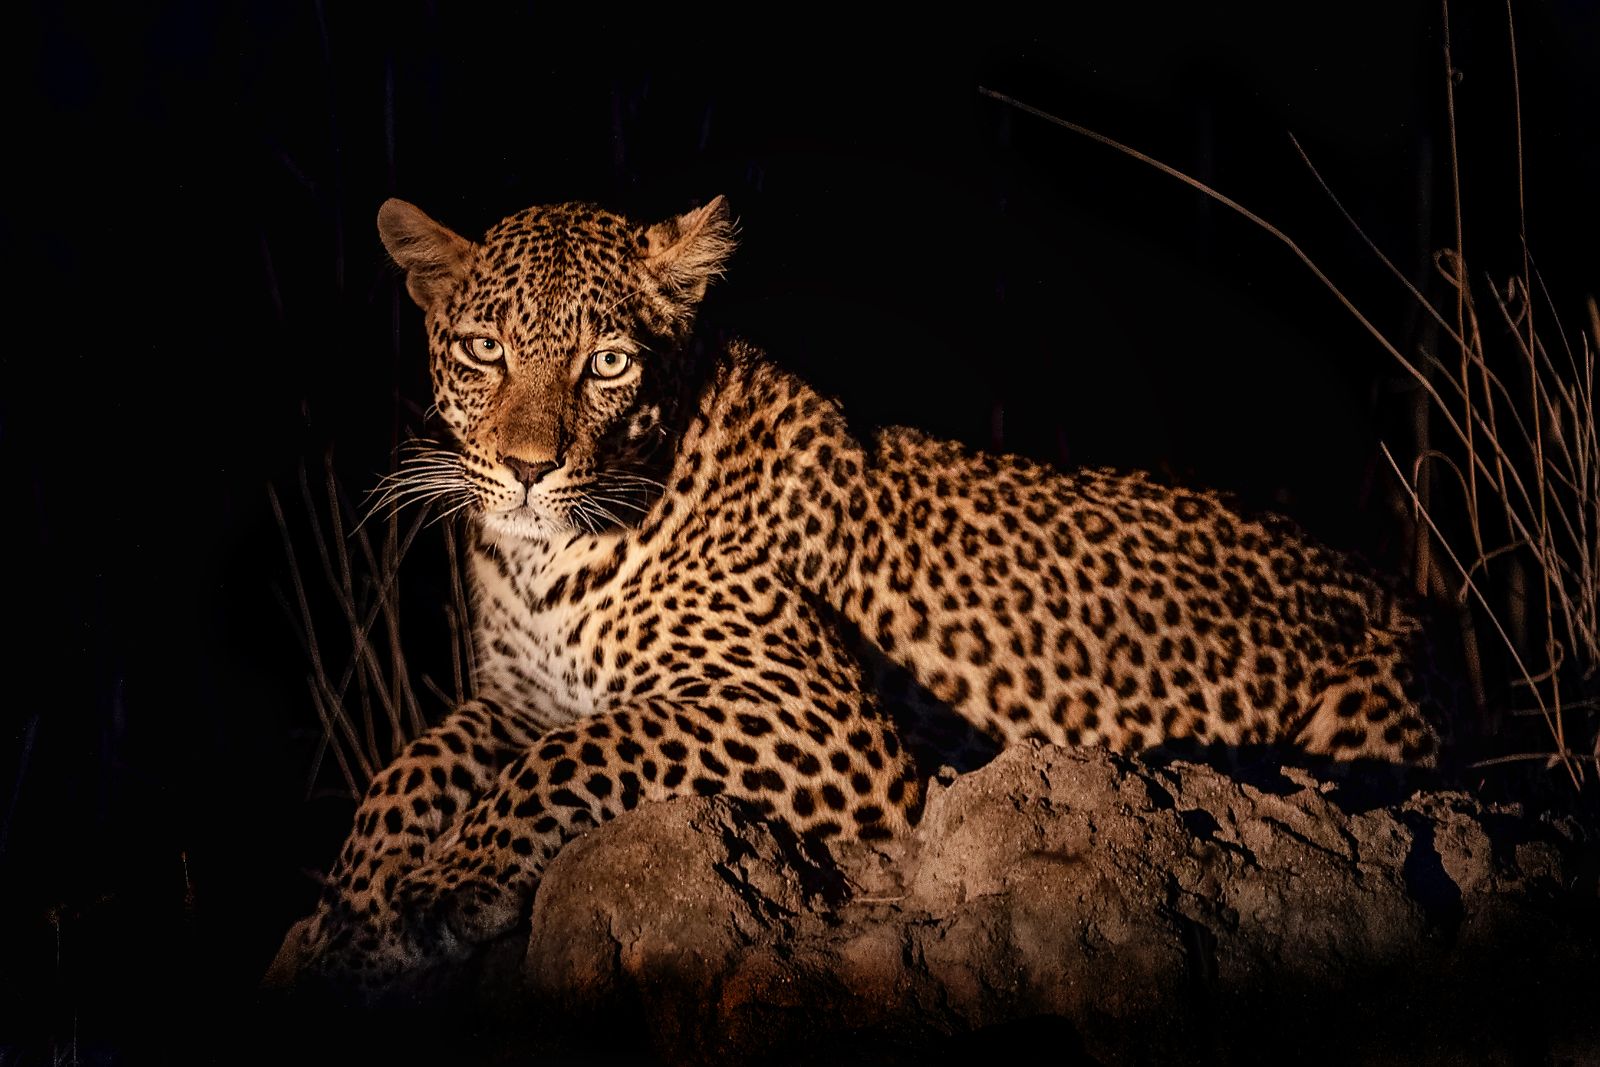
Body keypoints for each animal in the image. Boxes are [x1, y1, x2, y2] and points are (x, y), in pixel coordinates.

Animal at [271, 193, 1443, 997]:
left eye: (607, 362)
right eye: (483, 349)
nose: (525, 467)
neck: (543, 561)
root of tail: (1398, 601)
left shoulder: (819, 718)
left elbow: (578, 750)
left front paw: (440, 889)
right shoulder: (518, 695)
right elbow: (410, 765)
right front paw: (344, 914)